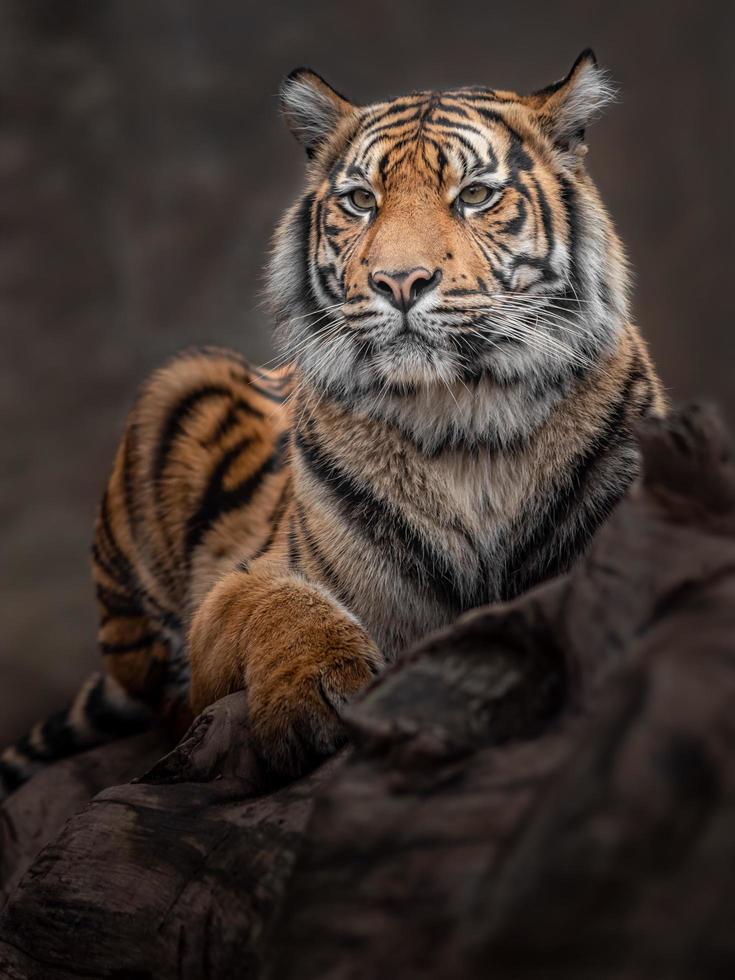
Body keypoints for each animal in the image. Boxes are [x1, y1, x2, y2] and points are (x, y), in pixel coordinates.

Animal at [0, 47, 664, 796]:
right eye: (361, 201)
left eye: (473, 195)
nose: (399, 282)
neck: (466, 422)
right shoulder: (248, 581)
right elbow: (283, 608)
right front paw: (309, 699)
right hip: (182, 383)